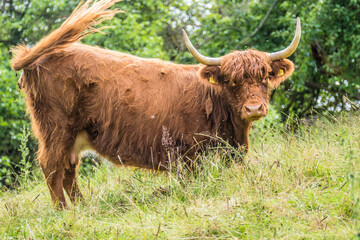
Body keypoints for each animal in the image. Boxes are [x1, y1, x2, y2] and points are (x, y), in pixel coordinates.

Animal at [10, 0, 300, 208]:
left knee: (69, 169)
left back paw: (82, 208)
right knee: (51, 166)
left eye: (265, 77)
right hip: (56, 129)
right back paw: (63, 212)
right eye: (231, 82)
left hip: (73, 136)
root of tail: (37, 58)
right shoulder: (190, 154)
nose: (253, 109)